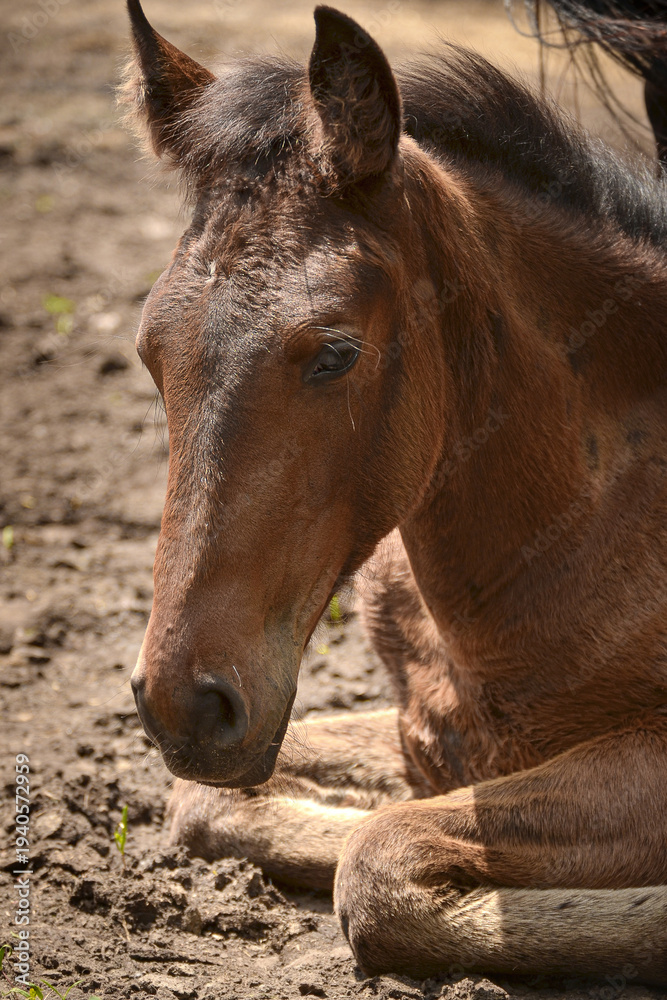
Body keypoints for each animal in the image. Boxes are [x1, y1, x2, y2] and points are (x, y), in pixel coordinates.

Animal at [124, 0, 667, 984]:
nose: (185, 705)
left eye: (335, 352)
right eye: (152, 351)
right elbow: (210, 803)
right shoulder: (427, 736)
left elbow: (379, 856)